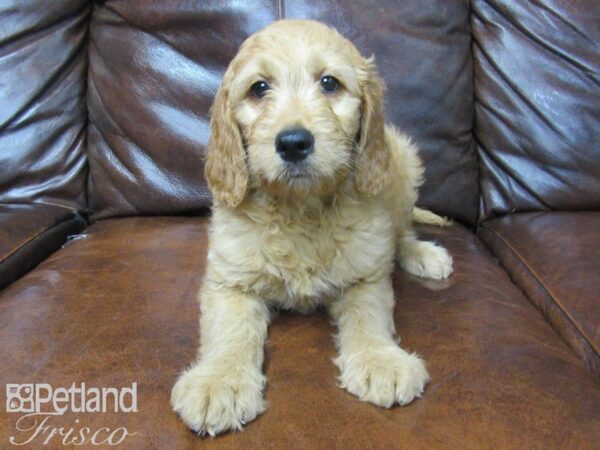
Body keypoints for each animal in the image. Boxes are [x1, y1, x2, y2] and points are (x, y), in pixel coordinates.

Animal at [171, 20, 452, 436]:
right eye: (259, 88)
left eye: (330, 83)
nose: (293, 143)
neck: (299, 208)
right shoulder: (230, 282)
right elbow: (229, 330)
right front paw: (219, 382)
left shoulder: (365, 276)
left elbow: (369, 315)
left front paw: (381, 360)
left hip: (401, 163)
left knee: (400, 231)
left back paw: (423, 253)